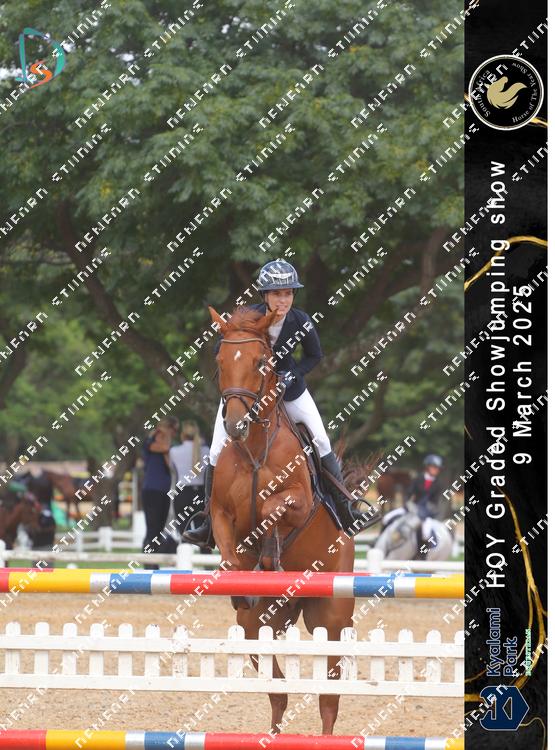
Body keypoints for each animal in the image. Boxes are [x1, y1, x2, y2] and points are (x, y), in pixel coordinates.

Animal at [207, 306, 377, 736]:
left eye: (260, 362)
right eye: (220, 362)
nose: (235, 425)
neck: (254, 448)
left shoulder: (300, 501)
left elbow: (272, 509)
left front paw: (270, 555)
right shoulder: (220, 512)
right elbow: (229, 552)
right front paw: (241, 576)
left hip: (330, 618)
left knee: (328, 698)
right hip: (257, 627)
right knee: (277, 689)